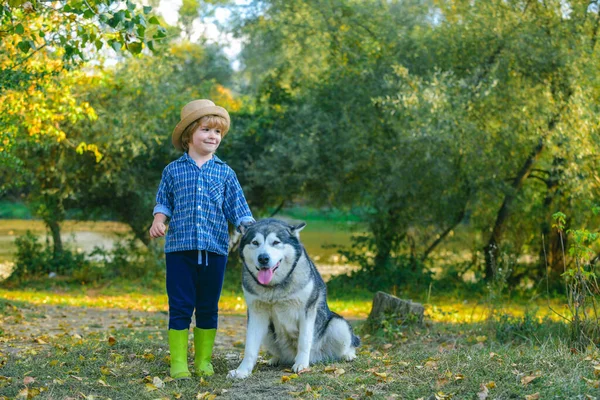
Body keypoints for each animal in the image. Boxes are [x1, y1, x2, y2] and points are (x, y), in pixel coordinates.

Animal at [227, 219, 358, 378]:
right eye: (255, 242)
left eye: (276, 242)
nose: (263, 258)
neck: (274, 287)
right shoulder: (256, 313)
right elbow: (250, 347)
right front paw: (242, 371)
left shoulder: (307, 311)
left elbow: (304, 341)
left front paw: (301, 364)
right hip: (268, 333)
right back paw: (276, 358)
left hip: (338, 325)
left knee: (349, 342)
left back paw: (348, 354)